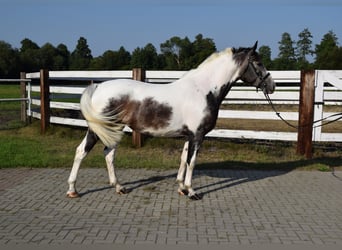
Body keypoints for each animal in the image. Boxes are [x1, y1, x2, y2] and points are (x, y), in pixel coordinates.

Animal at [66, 42, 276, 200]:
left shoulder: (189, 136)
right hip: (101, 129)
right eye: (258, 63)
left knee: (108, 154)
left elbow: (183, 159)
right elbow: (192, 161)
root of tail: (98, 87)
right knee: (82, 152)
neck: (204, 89)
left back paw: (118, 187)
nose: (272, 86)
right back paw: (73, 190)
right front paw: (192, 192)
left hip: (112, 130)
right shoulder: (198, 135)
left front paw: (181, 188)